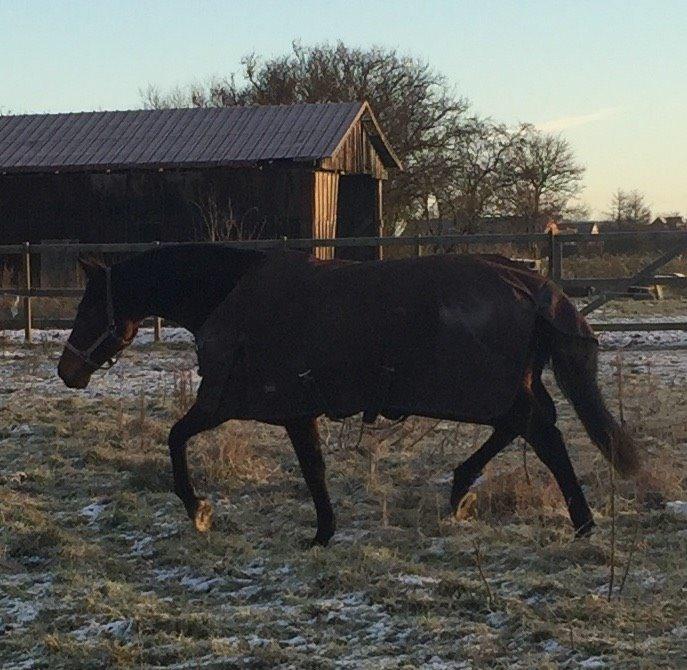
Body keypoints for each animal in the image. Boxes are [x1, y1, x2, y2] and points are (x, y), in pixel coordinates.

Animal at [59, 245, 640, 544]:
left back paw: (579, 523)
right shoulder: (295, 409)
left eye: (87, 306)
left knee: (539, 432)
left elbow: (176, 439)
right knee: (527, 426)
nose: (67, 371)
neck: (227, 295)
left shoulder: (226, 402)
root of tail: (529, 284)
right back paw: (465, 492)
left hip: (492, 388)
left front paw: (198, 508)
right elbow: (314, 468)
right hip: (505, 388)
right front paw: (325, 531)